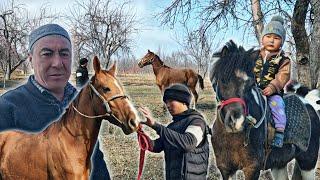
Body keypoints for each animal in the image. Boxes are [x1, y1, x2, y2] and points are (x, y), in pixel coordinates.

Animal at [209, 40, 318, 180]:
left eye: (250, 84)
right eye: (223, 79)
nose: (236, 121)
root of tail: (308, 102)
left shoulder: (252, 169)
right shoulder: (226, 169)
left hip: (308, 162)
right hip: (279, 164)